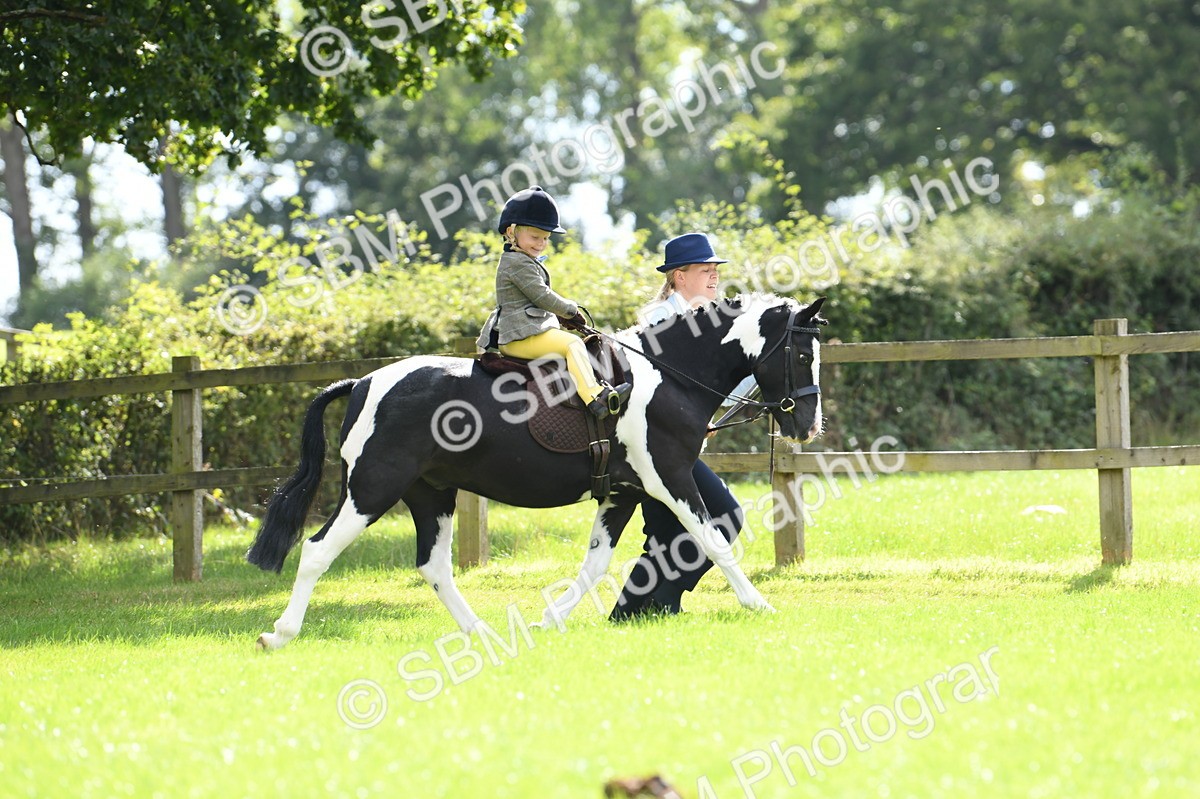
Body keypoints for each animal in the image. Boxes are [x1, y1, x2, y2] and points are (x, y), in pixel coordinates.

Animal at [246, 293, 826, 649]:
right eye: (801, 353)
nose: (807, 426)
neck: (665, 375)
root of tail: (364, 382)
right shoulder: (668, 479)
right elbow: (713, 541)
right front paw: (759, 604)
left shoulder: (622, 491)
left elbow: (594, 565)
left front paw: (549, 619)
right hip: (371, 489)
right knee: (317, 550)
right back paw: (279, 634)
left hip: (430, 494)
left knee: (434, 567)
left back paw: (480, 633)